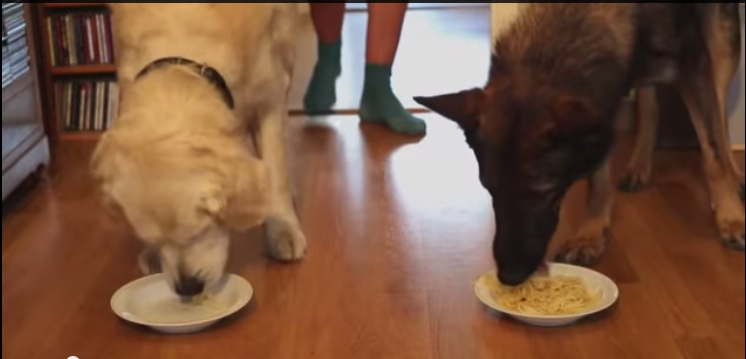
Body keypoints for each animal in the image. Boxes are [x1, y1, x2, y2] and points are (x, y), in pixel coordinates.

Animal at [91, 4, 306, 298]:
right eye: (154, 238)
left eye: (201, 229)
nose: (188, 288)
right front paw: (152, 254)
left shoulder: (270, 94)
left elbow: (276, 169)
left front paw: (282, 228)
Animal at [416, 2, 740, 286]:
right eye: (489, 188)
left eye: (543, 192)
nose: (509, 276)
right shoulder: (601, 107)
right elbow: (598, 178)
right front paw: (591, 232)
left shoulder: (693, 68)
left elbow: (712, 151)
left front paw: (731, 215)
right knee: (650, 105)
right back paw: (639, 165)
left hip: (721, 40)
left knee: (720, 114)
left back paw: (734, 181)